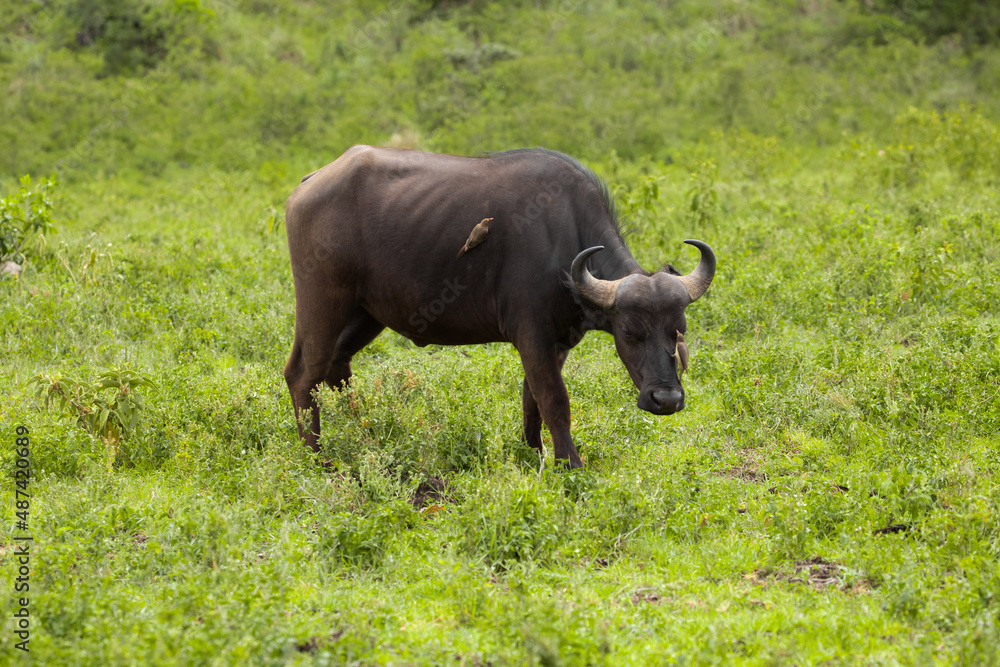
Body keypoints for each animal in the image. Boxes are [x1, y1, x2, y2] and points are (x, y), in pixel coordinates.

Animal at [284, 146, 716, 468]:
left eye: (679, 330)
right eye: (629, 331)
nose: (667, 400)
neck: (564, 239)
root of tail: (307, 184)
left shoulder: (557, 342)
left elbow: (533, 399)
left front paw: (535, 454)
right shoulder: (532, 336)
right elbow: (555, 399)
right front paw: (570, 464)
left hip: (366, 314)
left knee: (336, 368)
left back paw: (367, 433)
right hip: (322, 301)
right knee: (304, 374)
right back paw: (318, 458)